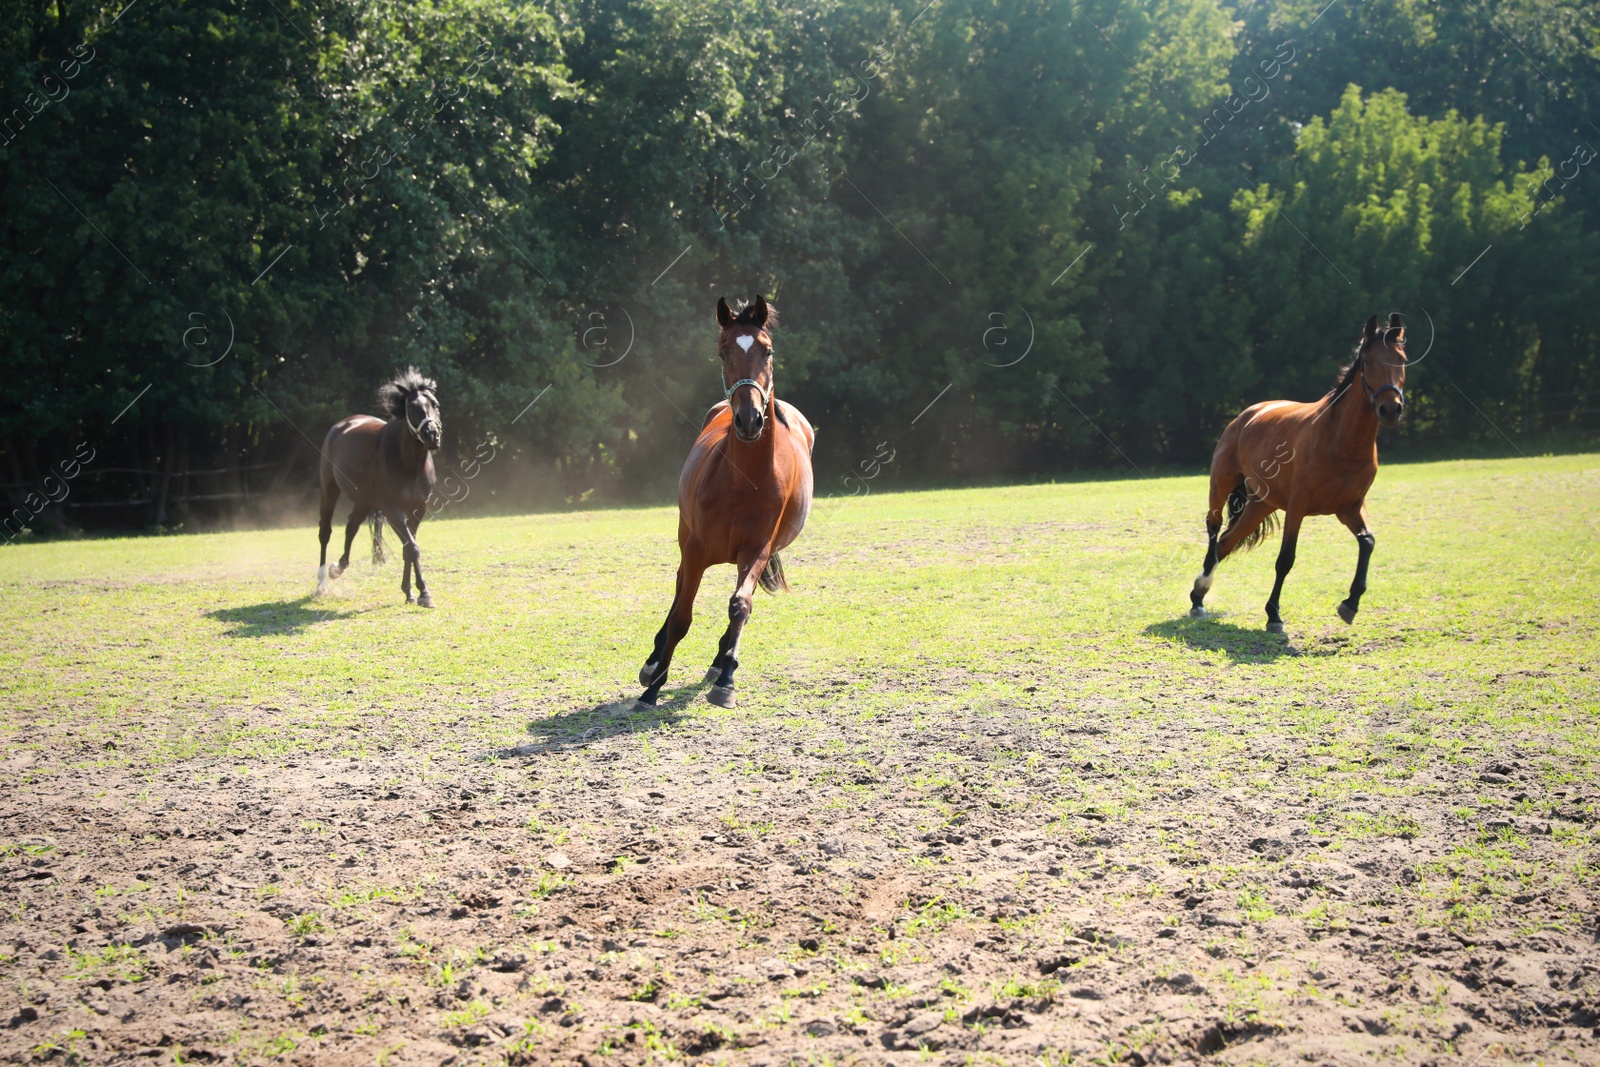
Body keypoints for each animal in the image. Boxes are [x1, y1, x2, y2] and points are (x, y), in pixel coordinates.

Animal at [318, 367, 444, 604]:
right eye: (411, 407)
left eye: (435, 404)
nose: (432, 435)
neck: (409, 463)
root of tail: (342, 425)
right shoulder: (391, 509)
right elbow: (412, 548)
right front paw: (424, 593)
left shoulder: (417, 509)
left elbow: (408, 547)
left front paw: (411, 592)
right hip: (329, 490)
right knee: (325, 532)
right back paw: (321, 584)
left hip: (363, 501)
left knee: (351, 527)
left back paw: (337, 568)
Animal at [636, 294, 812, 710]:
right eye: (723, 351)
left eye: (767, 350)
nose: (750, 419)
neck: (743, 481)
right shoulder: (697, 548)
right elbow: (682, 615)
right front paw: (654, 686)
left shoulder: (757, 549)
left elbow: (740, 605)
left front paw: (726, 679)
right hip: (685, 536)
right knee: (679, 585)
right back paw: (653, 663)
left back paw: (720, 663)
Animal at [1184, 313, 1408, 633]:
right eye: (1367, 360)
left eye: (1401, 360)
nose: (1390, 409)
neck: (1340, 441)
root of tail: (1247, 415)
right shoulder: (1298, 507)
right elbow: (1285, 559)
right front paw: (1274, 615)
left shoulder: (1350, 508)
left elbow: (1367, 542)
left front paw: (1350, 603)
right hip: (1221, 485)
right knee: (1214, 530)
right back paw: (1202, 588)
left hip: (1261, 505)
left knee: (1226, 542)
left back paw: (1198, 597)